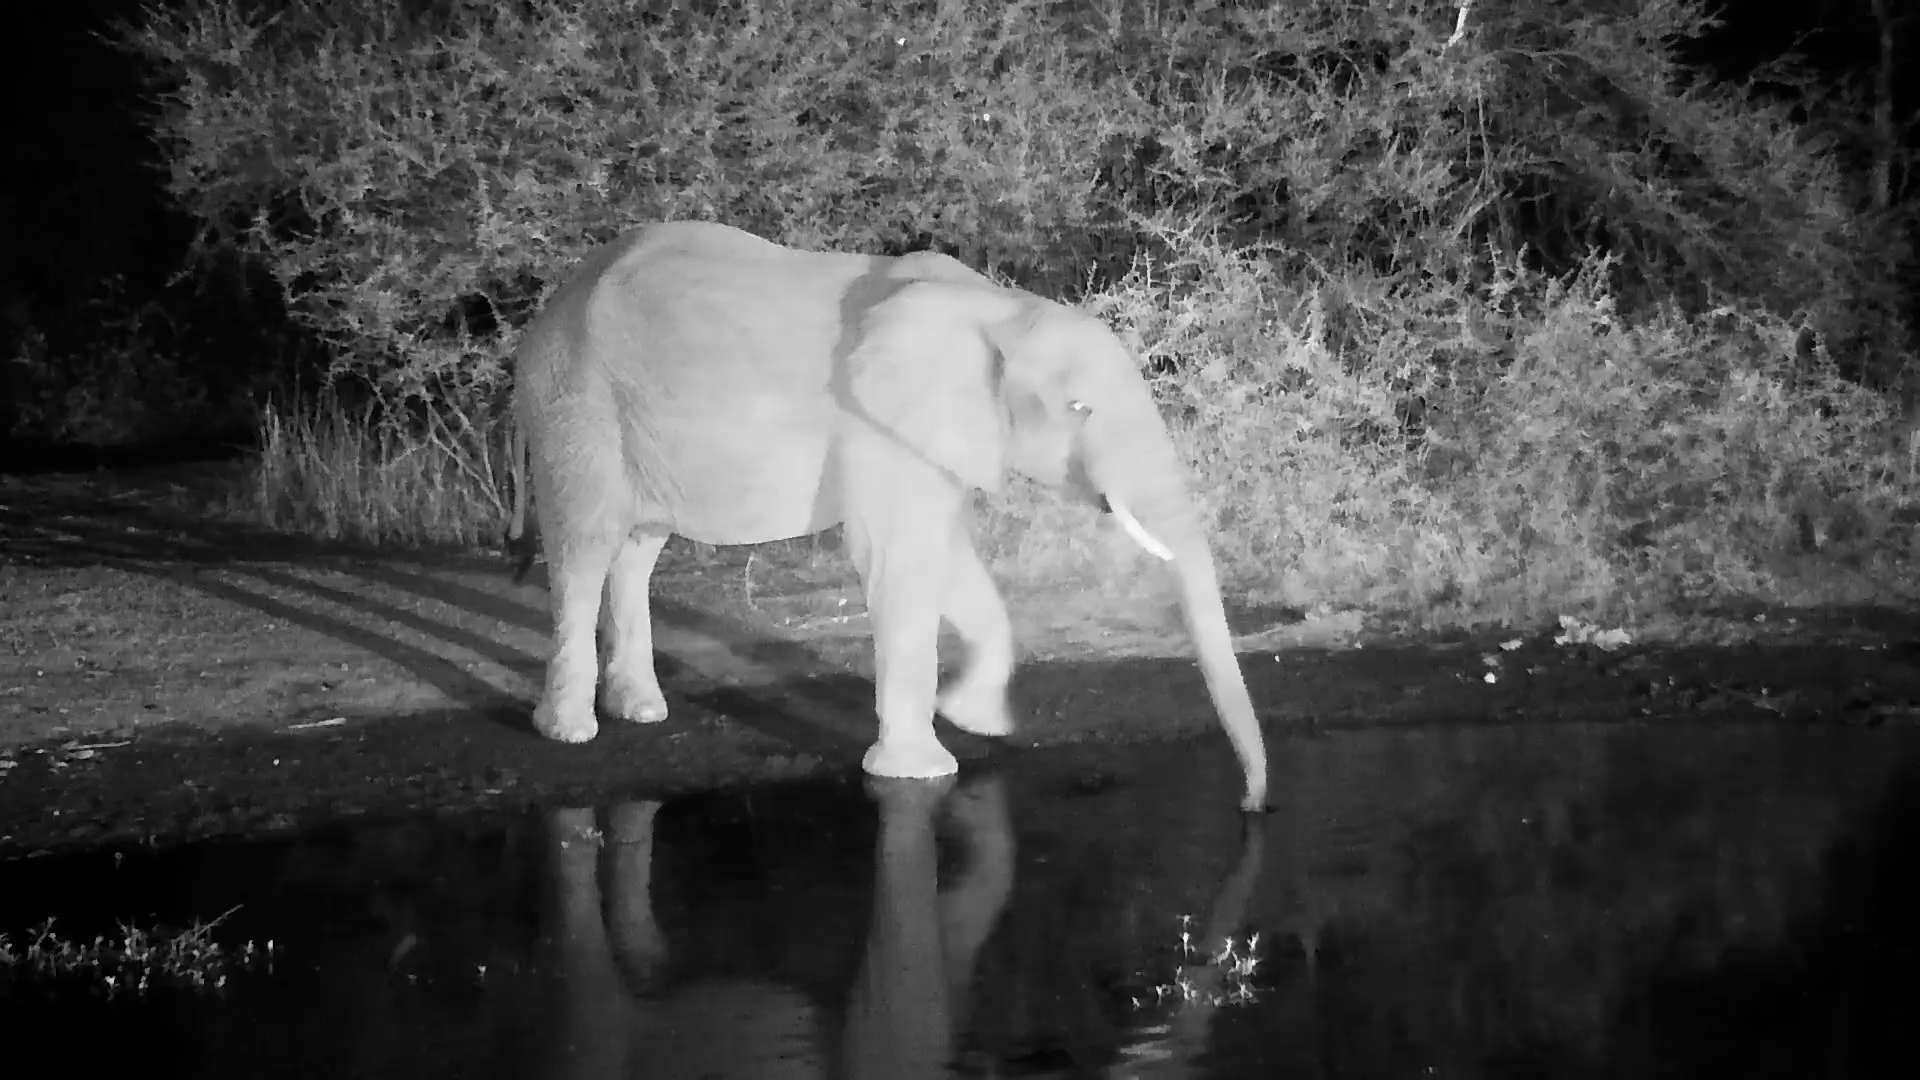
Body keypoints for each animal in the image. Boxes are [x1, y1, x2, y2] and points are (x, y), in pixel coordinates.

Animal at [508, 220, 1269, 811]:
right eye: (1079, 408)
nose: (1251, 805)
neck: (996, 309)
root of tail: (551, 308)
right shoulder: (875, 423)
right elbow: (899, 558)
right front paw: (922, 771)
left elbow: (950, 558)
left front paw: (975, 720)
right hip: (574, 402)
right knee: (584, 546)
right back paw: (571, 731)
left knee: (637, 549)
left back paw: (640, 710)